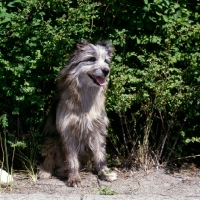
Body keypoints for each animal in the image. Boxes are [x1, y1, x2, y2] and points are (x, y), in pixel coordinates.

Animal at [38, 39, 117, 187]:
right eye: (91, 59)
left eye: (106, 61)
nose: (106, 71)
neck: (85, 100)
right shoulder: (68, 132)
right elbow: (71, 159)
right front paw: (74, 177)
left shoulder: (97, 129)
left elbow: (100, 155)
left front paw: (105, 173)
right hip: (51, 139)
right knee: (49, 158)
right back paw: (47, 171)